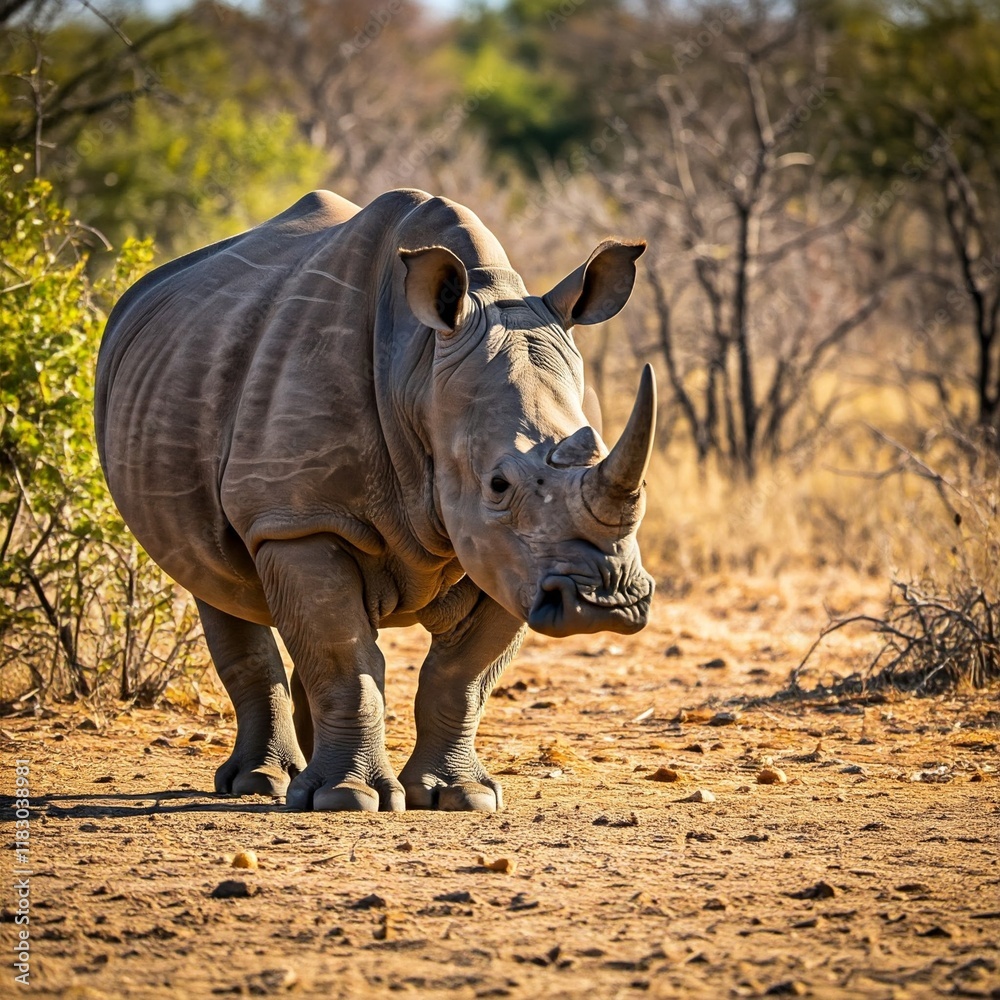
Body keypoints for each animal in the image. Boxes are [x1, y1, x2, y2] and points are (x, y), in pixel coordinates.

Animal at [95, 189, 656, 812]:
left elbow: (461, 675)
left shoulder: (515, 559)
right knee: (217, 584)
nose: (605, 603)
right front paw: (348, 798)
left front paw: (460, 796)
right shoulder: (300, 519)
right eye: (498, 485)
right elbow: (346, 661)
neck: (419, 371)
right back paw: (265, 784)